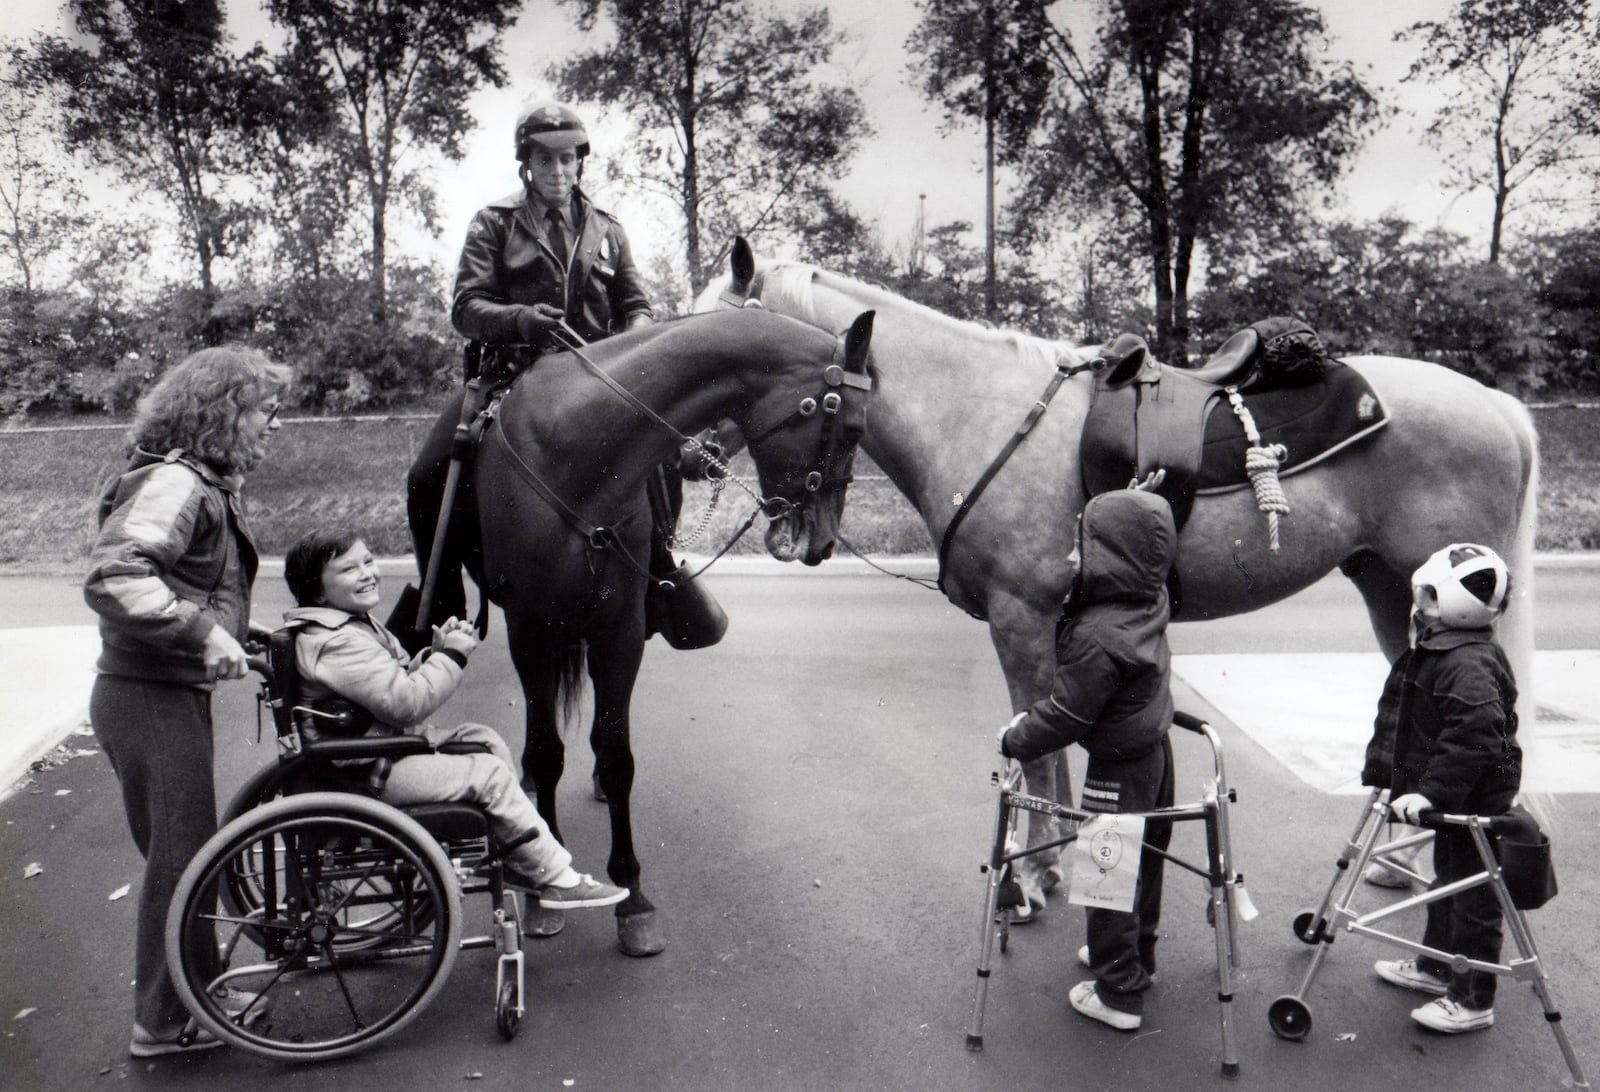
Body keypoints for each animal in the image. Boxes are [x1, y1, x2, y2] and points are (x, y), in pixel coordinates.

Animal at [406, 305, 870, 954]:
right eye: (850, 429)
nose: (823, 543)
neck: (577, 456)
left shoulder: (618, 635)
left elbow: (618, 756)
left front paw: (633, 899)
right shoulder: (531, 634)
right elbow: (547, 750)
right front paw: (544, 887)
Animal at [697, 244, 1536, 903]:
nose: (689, 449)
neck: (980, 415)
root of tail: (1498, 406)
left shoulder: (1021, 617)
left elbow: (1033, 747)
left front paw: (1029, 879)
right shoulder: (1052, 628)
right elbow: (1052, 748)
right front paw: (1053, 858)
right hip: (1392, 592)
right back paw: (1405, 867)